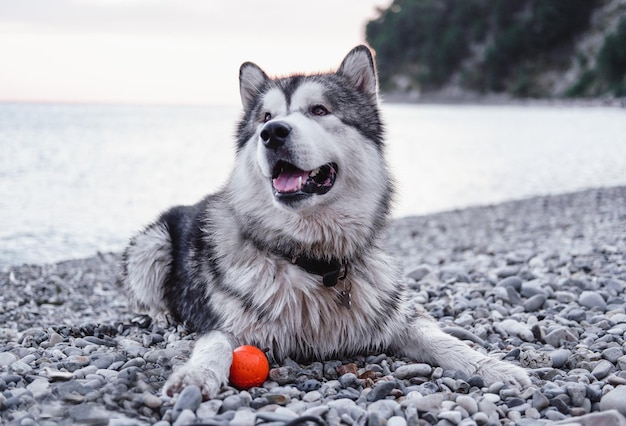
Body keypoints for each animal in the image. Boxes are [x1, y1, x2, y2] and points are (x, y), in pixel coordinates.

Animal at [119, 45, 528, 398]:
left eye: (319, 110)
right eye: (265, 118)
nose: (272, 133)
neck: (313, 261)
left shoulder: (396, 316)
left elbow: (443, 339)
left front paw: (494, 367)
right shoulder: (229, 325)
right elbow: (214, 345)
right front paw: (195, 375)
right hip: (152, 245)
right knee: (144, 297)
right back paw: (162, 318)